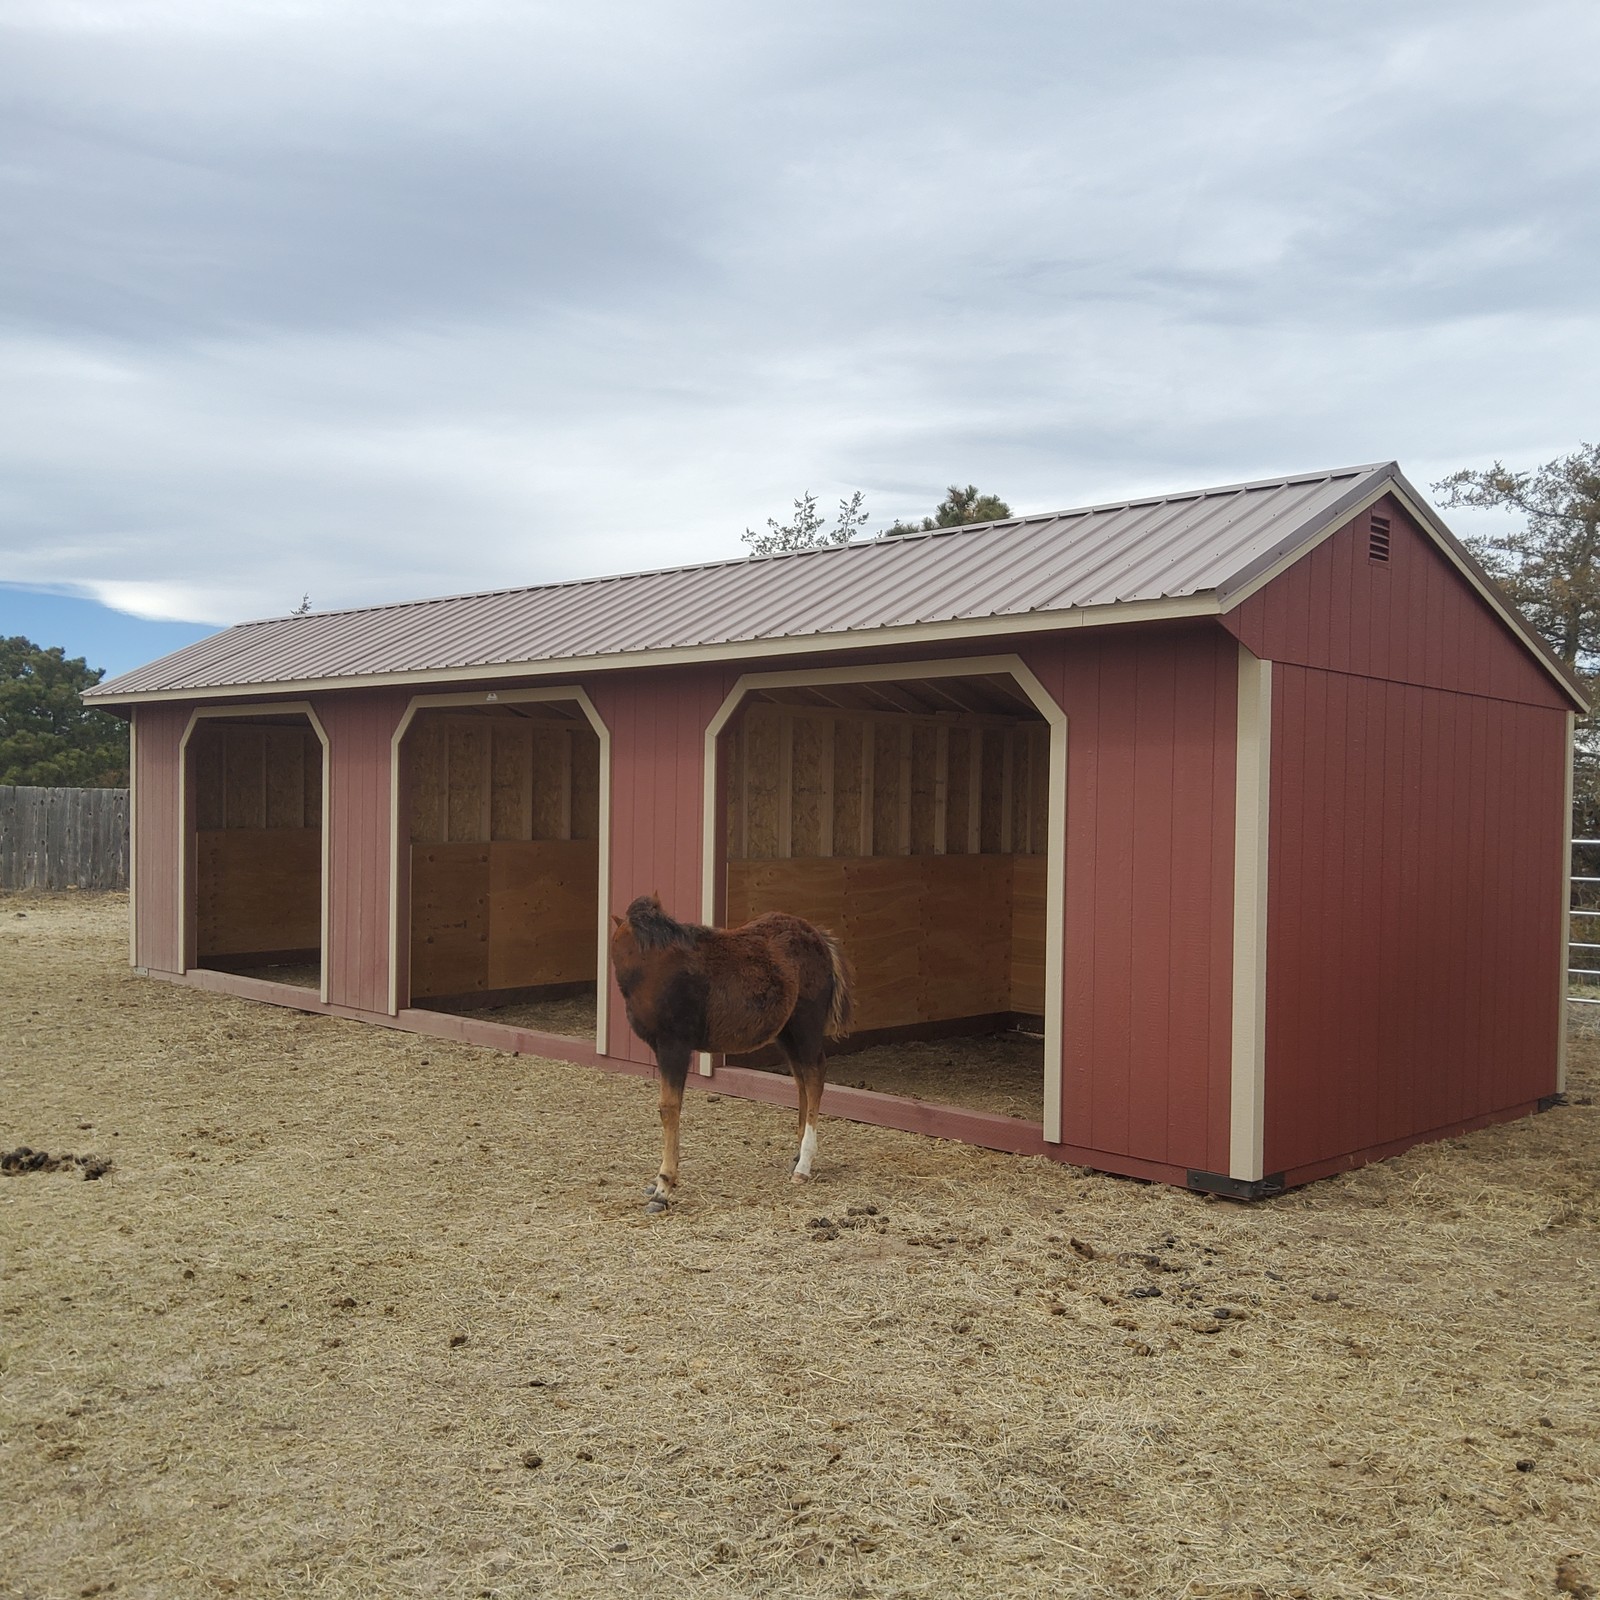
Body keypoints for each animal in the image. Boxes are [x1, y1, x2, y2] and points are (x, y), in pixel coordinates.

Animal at [609, 893, 853, 1212]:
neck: (650, 967)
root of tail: (819, 938)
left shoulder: (674, 1046)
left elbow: (669, 1108)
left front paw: (663, 1188)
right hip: (786, 1033)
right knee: (803, 1080)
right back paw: (798, 1157)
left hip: (806, 1026)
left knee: (814, 1077)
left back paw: (804, 1166)